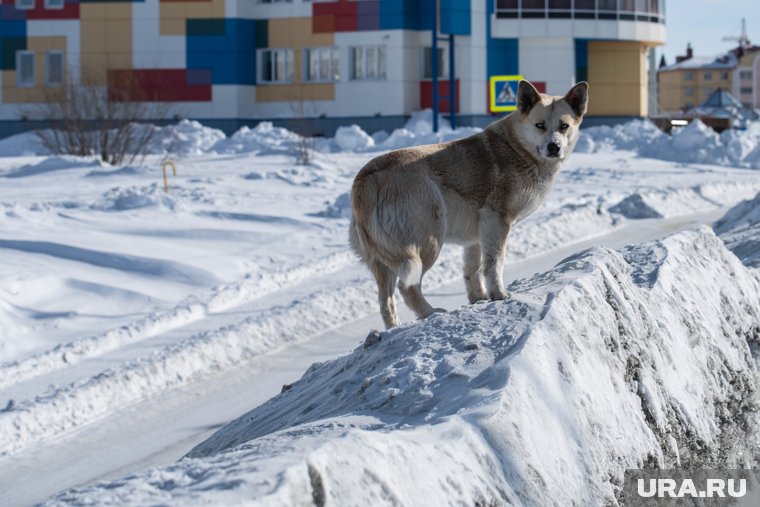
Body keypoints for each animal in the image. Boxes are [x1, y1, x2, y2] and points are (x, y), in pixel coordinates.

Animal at [350, 79, 588, 330]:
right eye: (539, 125)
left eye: (564, 126)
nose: (554, 147)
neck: (518, 148)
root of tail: (368, 177)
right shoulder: (497, 220)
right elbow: (494, 263)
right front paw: (499, 295)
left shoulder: (476, 235)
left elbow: (473, 269)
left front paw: (479, 299)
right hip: (426, 243)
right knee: (407, 287)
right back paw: (431, 313)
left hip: (384, 260)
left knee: (385, 301)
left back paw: (394, 327)